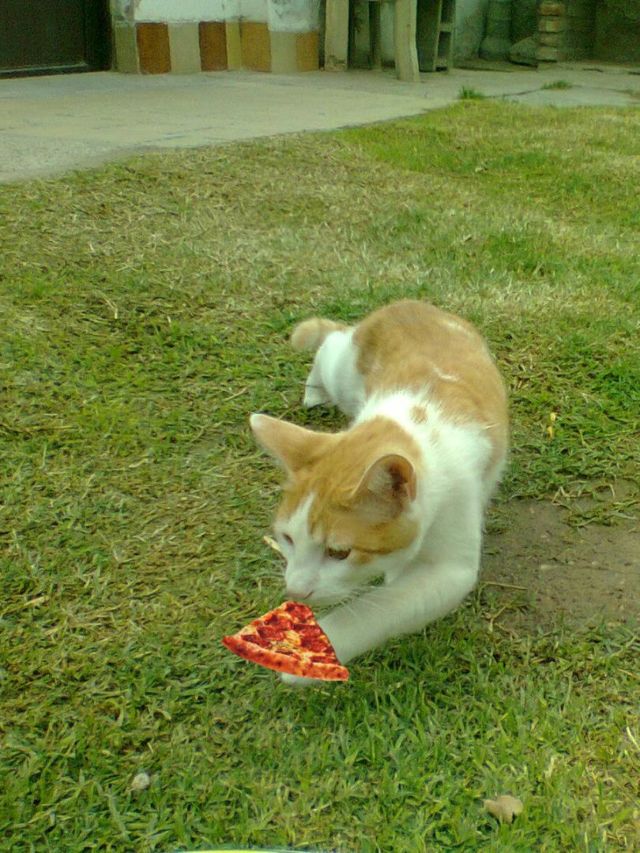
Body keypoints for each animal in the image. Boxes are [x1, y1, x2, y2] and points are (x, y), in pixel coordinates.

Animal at [250, 300, 508, 684]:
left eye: (339, 553)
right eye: (287, 538)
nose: (296, 590)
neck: (414, 425)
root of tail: (409, 303)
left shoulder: (452, 563)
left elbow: (377, 610)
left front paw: (310, 659)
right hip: (344, 370)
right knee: (331, 344)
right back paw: (315, 388)